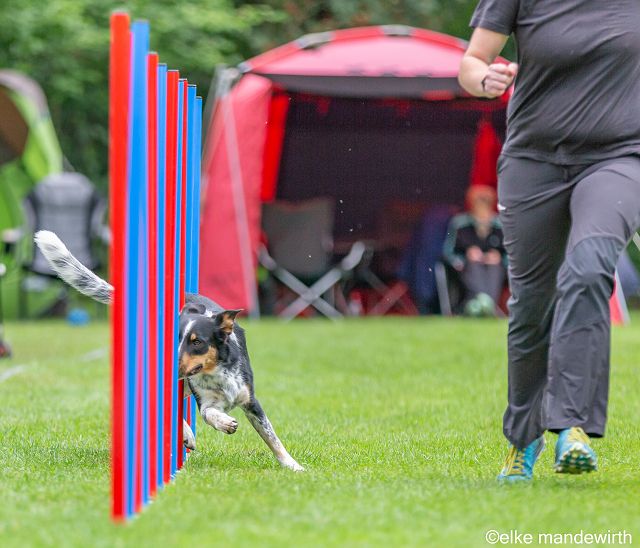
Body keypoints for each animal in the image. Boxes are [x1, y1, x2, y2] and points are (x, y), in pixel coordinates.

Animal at [34, 230, 304, 471]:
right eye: (175, 339)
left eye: (197, 342)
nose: (170, 362)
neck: (215, 373)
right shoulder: (205, 402)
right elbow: (210, 414)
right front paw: (225, 423)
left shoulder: (250, 400)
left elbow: (272, 437)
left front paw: (292, 465)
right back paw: (186, 435)